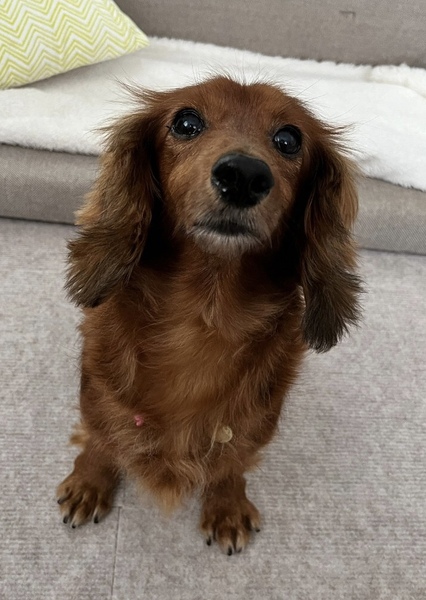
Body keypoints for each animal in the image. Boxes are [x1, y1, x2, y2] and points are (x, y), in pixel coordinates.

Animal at [57, 76, 362, 555]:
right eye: (186, 122)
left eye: (289, 139)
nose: (244, 175)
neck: (205, 312)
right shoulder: (98, 396)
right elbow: (102, 441)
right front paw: (90, 481)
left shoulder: (253, 424)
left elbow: (229, 464)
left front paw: (226, 506)